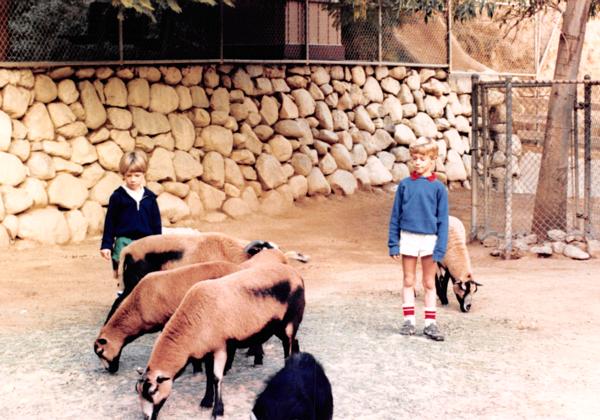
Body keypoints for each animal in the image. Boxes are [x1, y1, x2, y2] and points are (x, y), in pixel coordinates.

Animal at [136, 251, 304, 418]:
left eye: (153, 391)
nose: (146, 417)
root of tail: (296, 274)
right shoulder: (207, 351)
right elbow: (209, 376)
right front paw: (206, 401)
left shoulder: (220, 347)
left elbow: (217, 378)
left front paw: (218, 410)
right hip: (279, 327)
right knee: (295, 342)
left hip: (289, 323)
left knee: (288, 347)